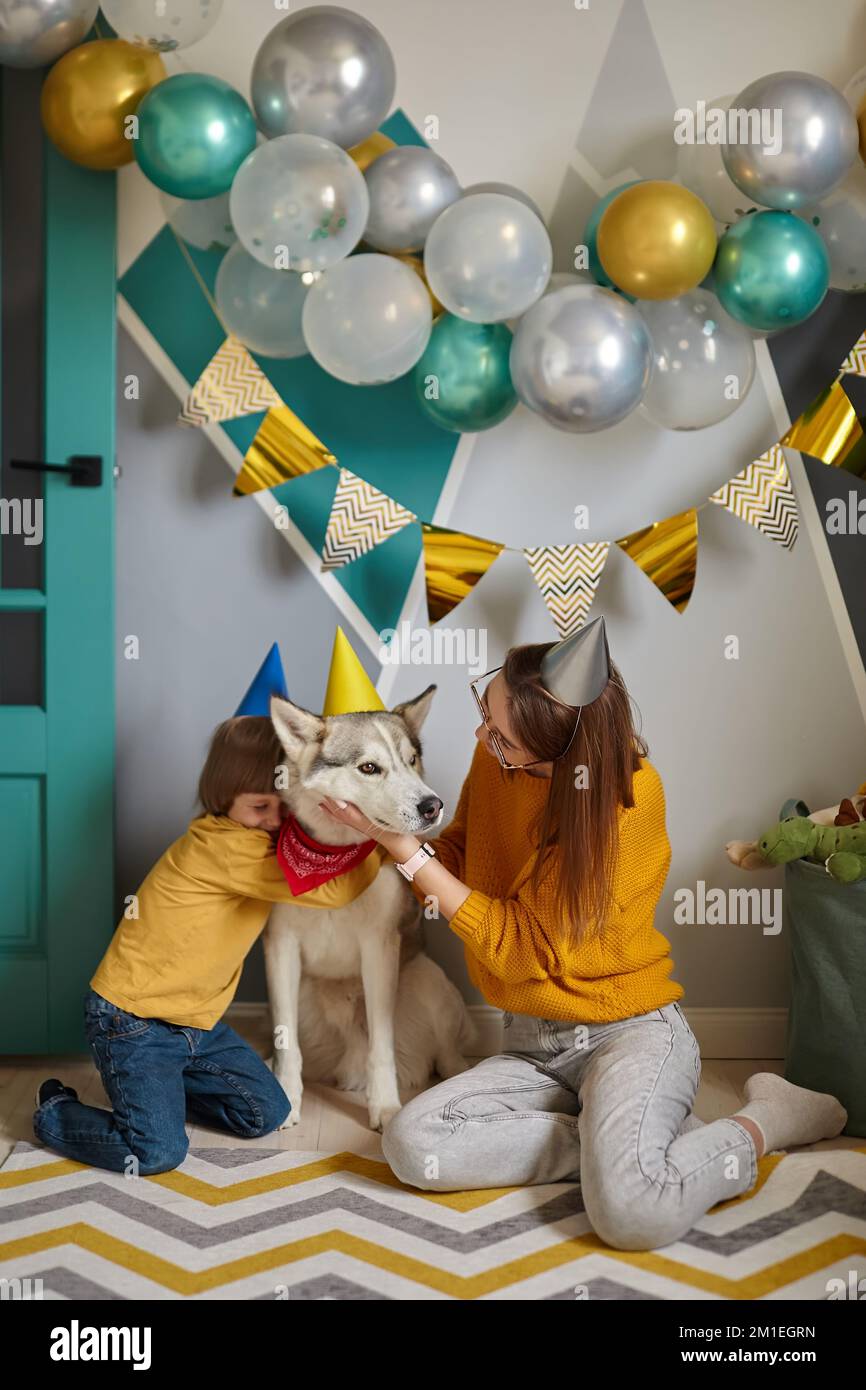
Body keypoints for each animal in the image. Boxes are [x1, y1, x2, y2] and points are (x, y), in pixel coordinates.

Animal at [268, 683, 478, 1128]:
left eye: (411, 760)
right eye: (369, 768)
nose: (432, 805)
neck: (331, 865)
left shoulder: (379, 949)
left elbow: (381, 1047)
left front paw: (384, 1107)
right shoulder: (280, 948)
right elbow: (286, 1044)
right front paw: (288, 1101)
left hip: (428, 979)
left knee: (447, 1054)